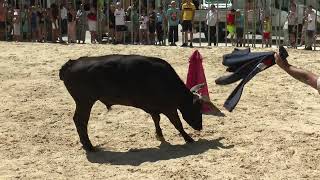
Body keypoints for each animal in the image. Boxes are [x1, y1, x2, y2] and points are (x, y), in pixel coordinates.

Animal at [59, 54, 222, 150]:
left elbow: (156, 119)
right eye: (197, 108)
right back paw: (89, 146)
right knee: (80, 121)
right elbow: (178, 124)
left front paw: (159, 135)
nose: (200, 127)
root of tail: (72, 63)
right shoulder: (169, 108)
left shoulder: (154, 108)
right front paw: (188, 138)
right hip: (85, 102)